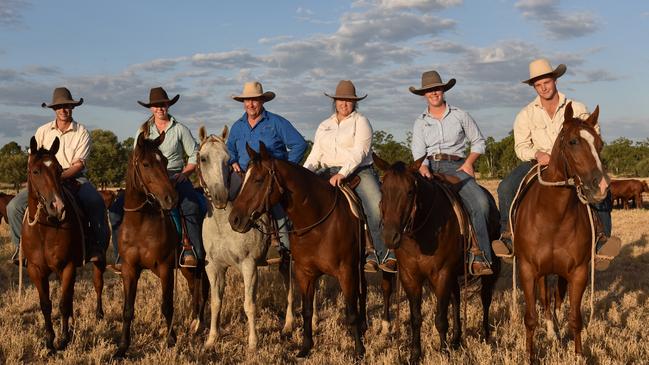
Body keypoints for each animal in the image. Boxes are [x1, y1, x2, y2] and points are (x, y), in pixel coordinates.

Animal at [21, 135, 105, 352]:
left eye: (59, 170)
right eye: (35, 171)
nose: (57, 207)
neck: (45, 228)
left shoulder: (67, 266)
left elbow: (64, 303)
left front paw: (64, 339)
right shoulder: (35, 270)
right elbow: (46, 304)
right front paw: (49, 340)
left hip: (97, 261)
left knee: (98, 284)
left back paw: (99, 315)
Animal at [112, 132, 209, 358]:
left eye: (164, 161)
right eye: (146, 164)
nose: (171, 198)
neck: (140, 223)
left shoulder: (165, 267)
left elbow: (167, 305)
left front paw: (171, 340)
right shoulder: (129, 269)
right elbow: (127, 308)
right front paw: (122, 347)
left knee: (204, 290)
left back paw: (199, 324)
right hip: (187, 269)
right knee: (195, 288)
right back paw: (194, 323)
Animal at [229, 142, 374, 358]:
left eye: (258, 180)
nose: (234, 219)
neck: (318, 223)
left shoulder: (346, 271)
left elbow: (351, 311)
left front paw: (359, 351)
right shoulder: (304, 273)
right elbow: (306, 310)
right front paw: (305, 347)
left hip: (359, 263)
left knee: (361, 290)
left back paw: (363, 326)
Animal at [370, 153, 502, 362]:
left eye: (410, 192)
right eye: (383, 190)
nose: (390, 237)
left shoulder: (441, 274)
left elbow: (440, 318)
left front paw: (444, 353)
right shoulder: (410, 277)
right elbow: (416, 318)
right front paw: (415, 355)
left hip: (491, 268)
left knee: (485, 298)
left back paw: (486, 336)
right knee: (456, 299)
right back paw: (456, 339)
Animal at [512, 102, 608, 362]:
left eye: (600, 144)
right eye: (573, 141)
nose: (601, 187)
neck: (553, 217)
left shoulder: (578, 272)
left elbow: (575, 318)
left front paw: (578, 355)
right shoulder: (527, 270)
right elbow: (530, 318)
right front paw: (530, 355)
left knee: (555, 301)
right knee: (546, 301)